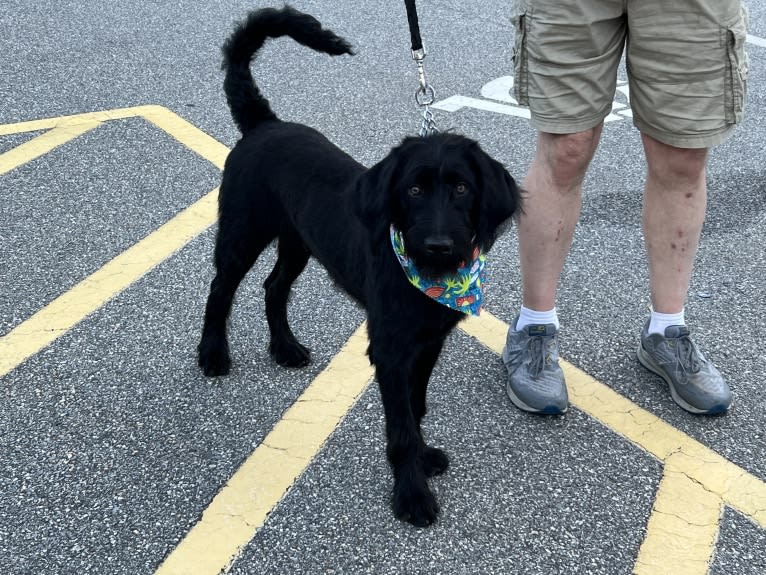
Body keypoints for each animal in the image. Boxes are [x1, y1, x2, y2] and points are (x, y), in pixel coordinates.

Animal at [198, 5, 520, 528]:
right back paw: (211, 355)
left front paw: (424, 458)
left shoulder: (427, 344)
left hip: (298, 241)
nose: (437, 246)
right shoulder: (390, 350)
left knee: (273, 286)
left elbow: (416, 406)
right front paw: (411, 493)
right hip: (242, 232)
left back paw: (285, 347)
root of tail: (265, 124)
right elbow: (402, 424)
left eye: (461, 188)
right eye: (413, 190)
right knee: (220, 289)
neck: (427, 279)